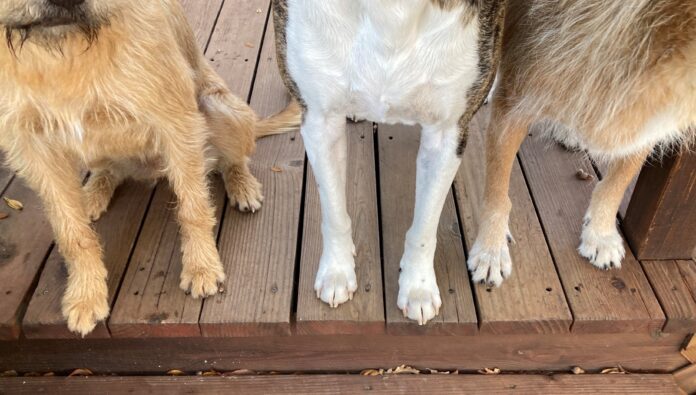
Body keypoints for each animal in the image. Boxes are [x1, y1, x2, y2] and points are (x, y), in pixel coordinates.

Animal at [0, 0, 300, 336]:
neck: (67, 48)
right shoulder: (32, 148)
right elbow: (72, 233)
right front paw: (86, 293)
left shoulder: (177, 121)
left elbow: (193, 209)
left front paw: (201, 267)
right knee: (110, 171)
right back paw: (93, 193)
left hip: (221, 110)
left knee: (232, 159)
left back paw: (242, 185)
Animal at [272, 0, 506, 324]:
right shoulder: (320, 121)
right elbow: (334, 214)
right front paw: (336, 272)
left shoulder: (447, 134)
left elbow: (424, 227)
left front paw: (418, 286)